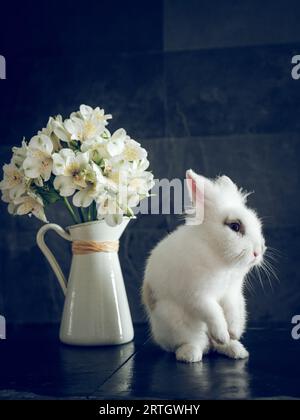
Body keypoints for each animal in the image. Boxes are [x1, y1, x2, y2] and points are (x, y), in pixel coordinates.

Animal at [142, 169, 266, 362]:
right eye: (235, 226)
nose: (258, 252)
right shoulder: (198, 296)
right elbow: (214, 313)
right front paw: (223, 334)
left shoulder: (232, 294)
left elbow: (231, 312)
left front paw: (233, 333)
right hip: (178, 325)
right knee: (197, 343)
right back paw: (191, 355)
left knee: (215, 346)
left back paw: (237, 349)